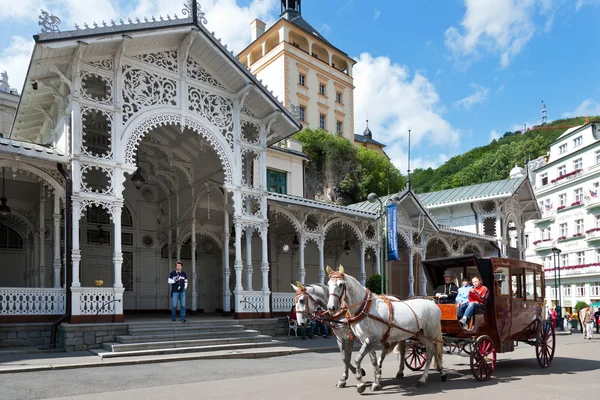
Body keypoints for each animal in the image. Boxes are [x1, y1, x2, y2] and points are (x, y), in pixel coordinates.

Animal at [324, 264, 446, 392]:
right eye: (328, 284)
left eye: (341, 284)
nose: (331, 307)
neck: (365, 308)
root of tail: (433, 304)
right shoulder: (366, 340)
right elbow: (372, 361)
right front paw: (376, 382)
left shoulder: (371, 339)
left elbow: (357, 359)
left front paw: (360, 383)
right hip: (420, 334)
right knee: (432, 349)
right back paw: (441, 372)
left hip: (429, 334)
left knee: (430, 351)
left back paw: (423, 379)